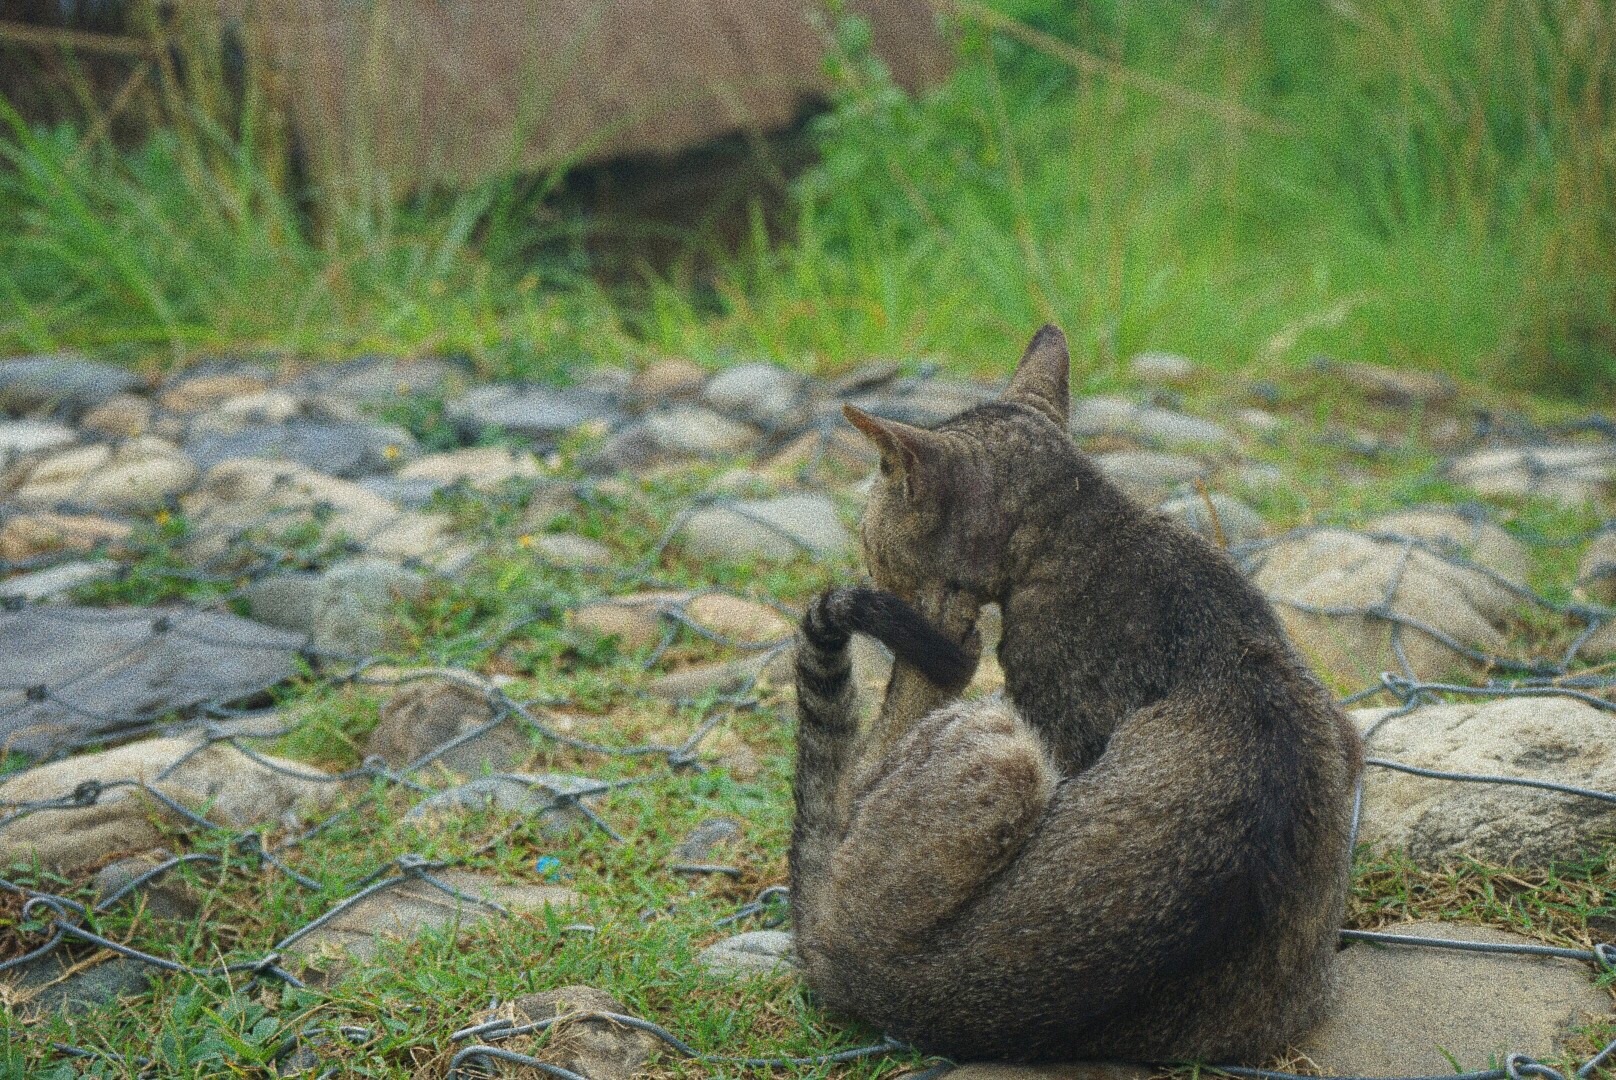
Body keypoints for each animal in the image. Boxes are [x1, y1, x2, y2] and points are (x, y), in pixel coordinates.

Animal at [788, 326, 1357, 1060]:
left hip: (1002, 750)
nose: (869, 561)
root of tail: (860, 981)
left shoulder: (1055, 715)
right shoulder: (1339, 722)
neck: (1087, 520)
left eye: (867, 532)